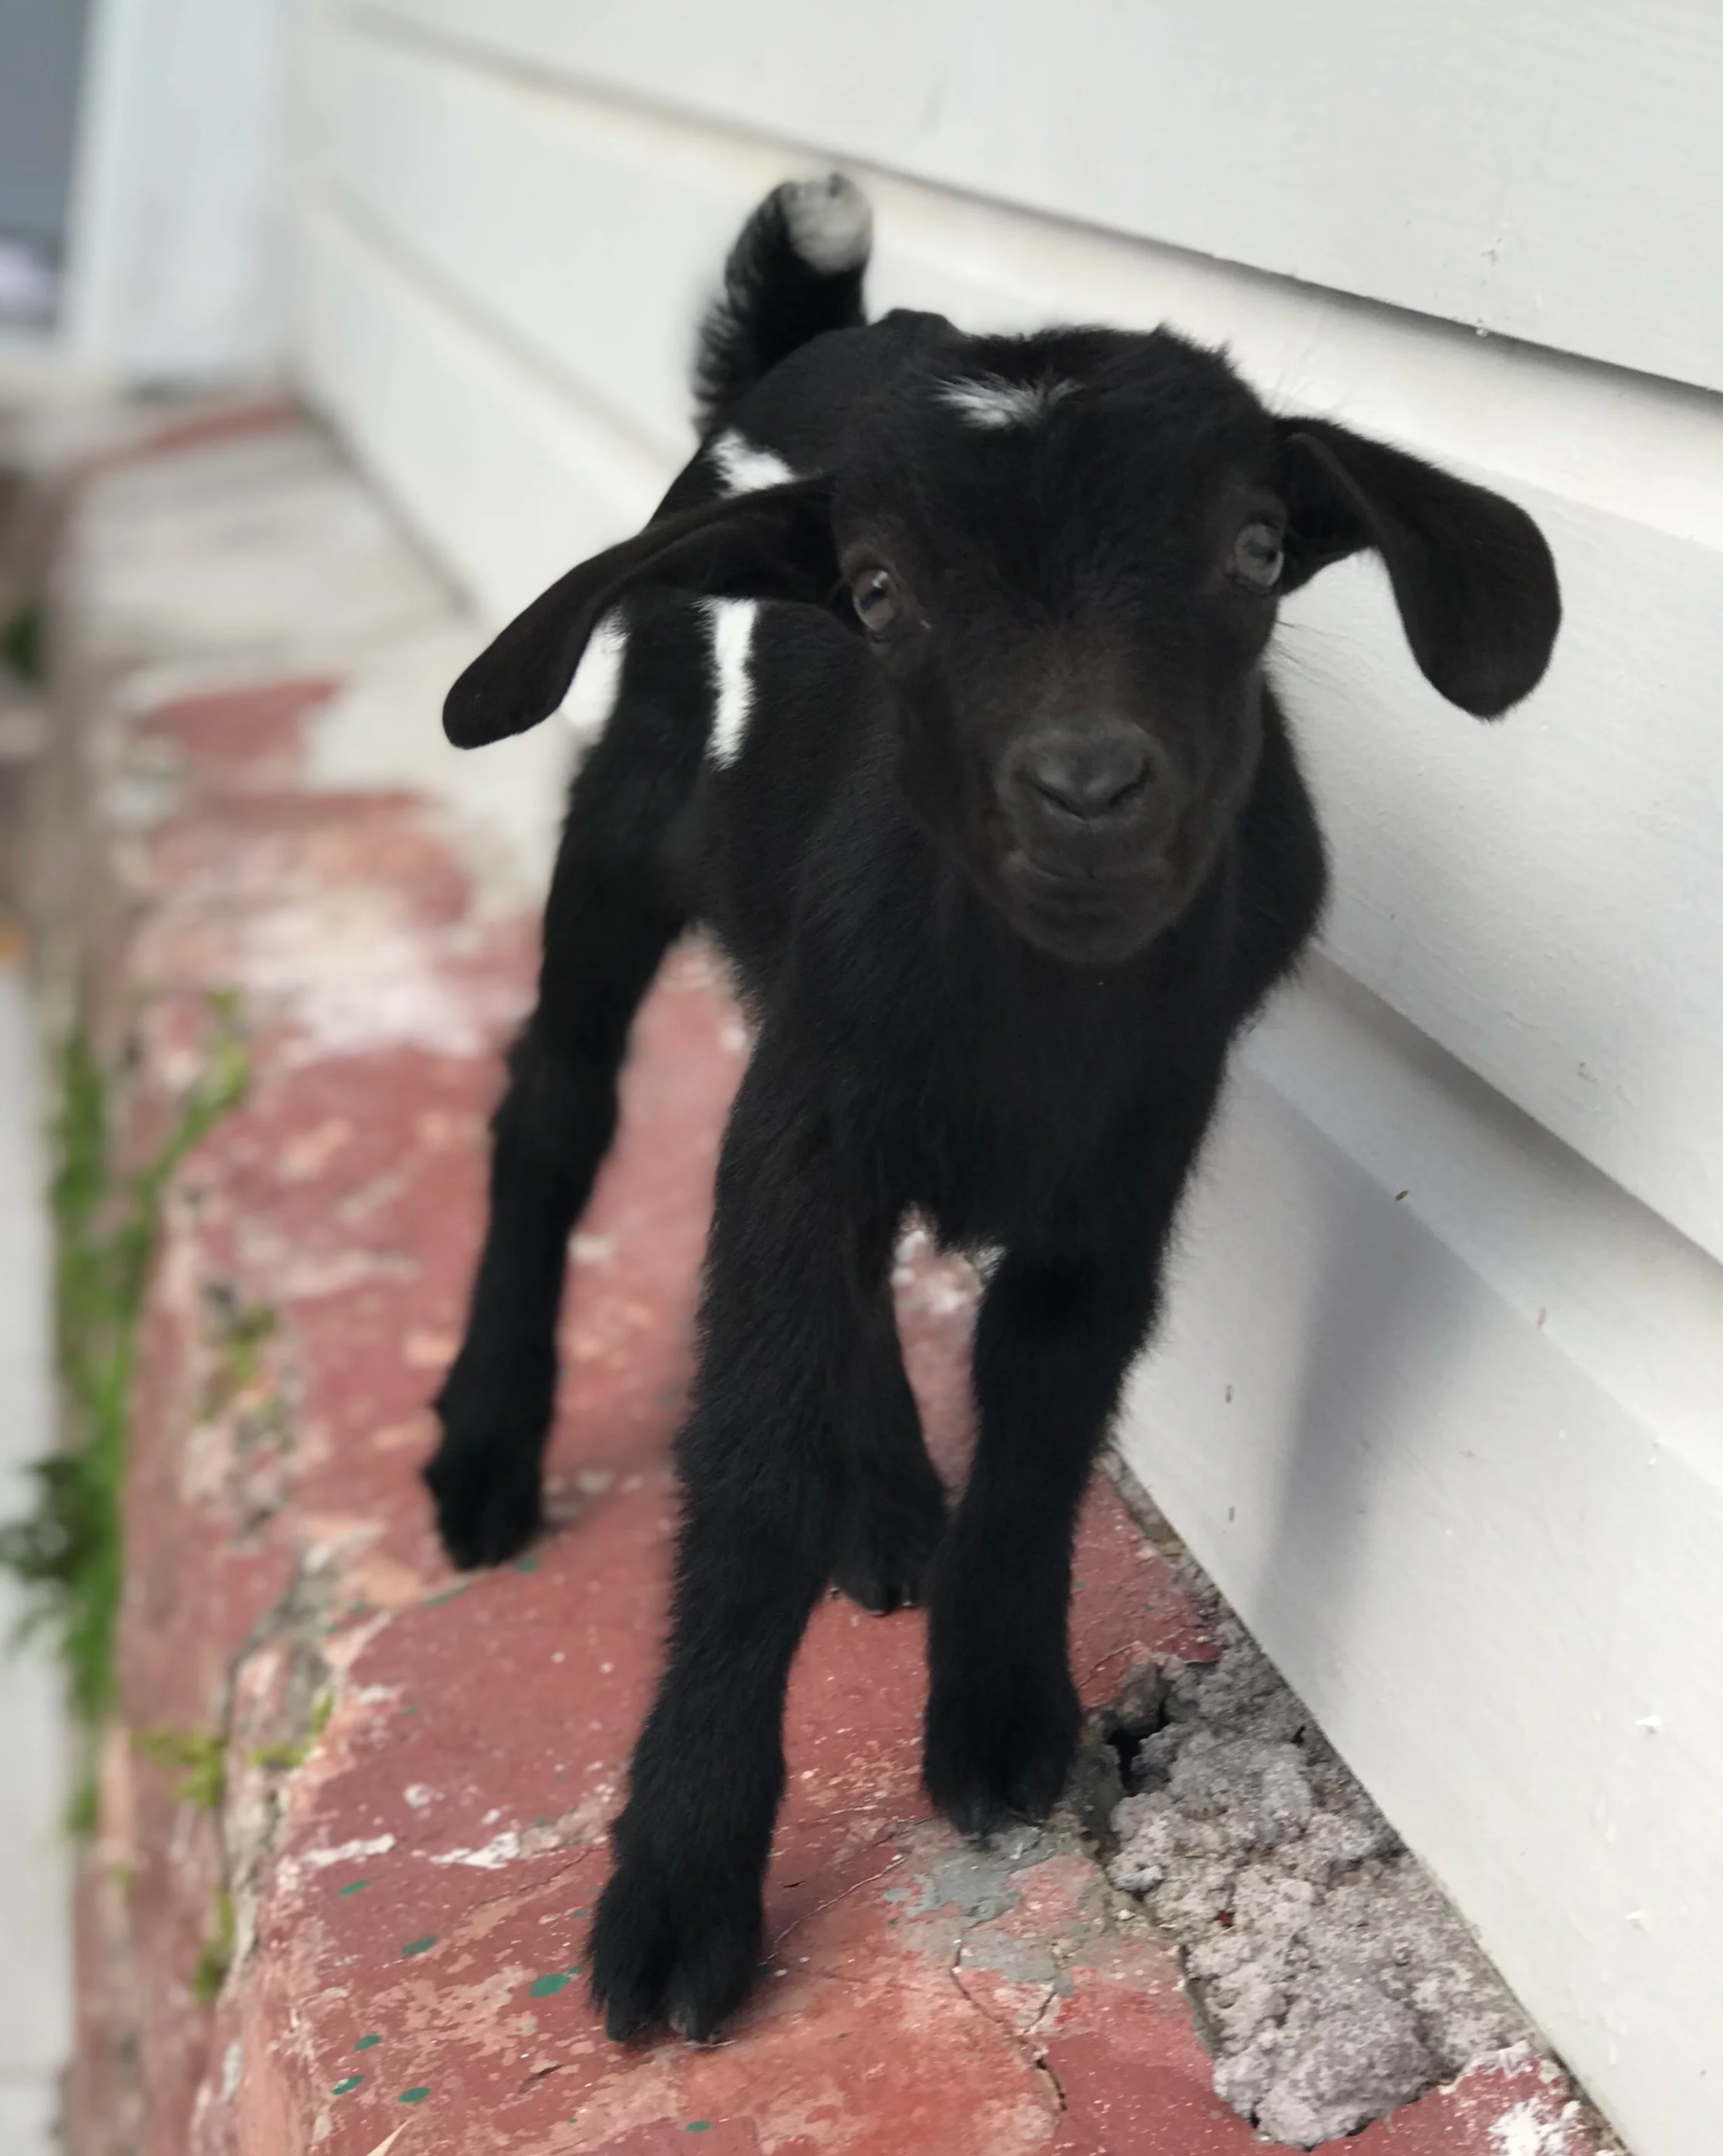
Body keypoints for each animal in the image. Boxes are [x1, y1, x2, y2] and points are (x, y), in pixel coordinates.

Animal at [425, 173, 1560, 2043]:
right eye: (879, 592)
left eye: (1256, 550)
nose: (1088, 790)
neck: (1035, 1010)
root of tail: (817, 341)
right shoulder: (814, 1097)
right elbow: (747, 1453)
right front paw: (677, 1892)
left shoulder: (1135, 1142)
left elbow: (1046, 1395)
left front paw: (1000, 1716)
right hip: (635, 814)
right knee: (554, 1109)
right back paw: (489, 1451)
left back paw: (888, 1507)